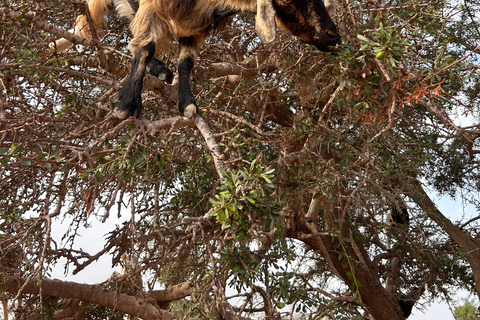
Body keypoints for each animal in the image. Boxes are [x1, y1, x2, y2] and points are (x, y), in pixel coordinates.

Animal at [52, 0, 340, 117]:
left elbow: (186, 63)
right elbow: (145, 47)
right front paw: (126, 105)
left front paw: (187, 104)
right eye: (287, 0)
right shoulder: (152, 9)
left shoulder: (196, 28)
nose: (333, 35)